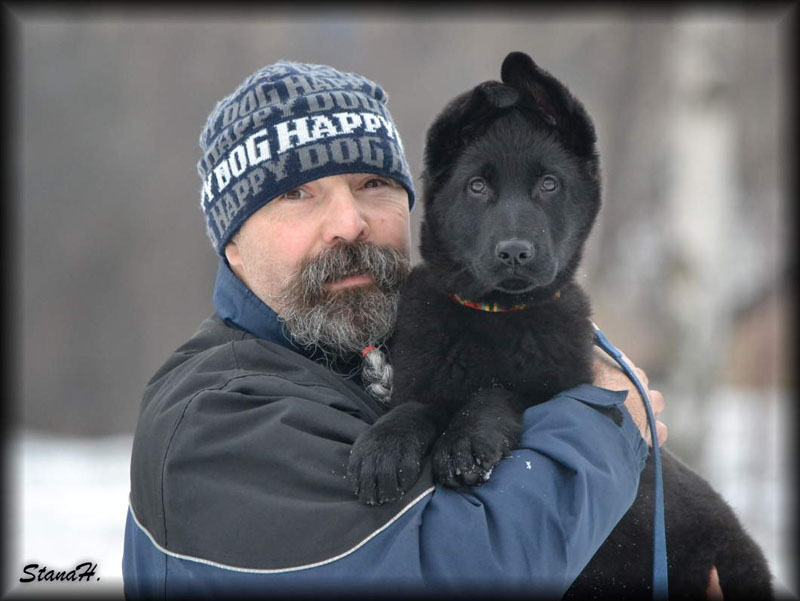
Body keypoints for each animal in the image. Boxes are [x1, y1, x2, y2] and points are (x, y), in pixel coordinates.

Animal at [346, 52, 772, 600]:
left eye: (548, 184)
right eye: (477, 187)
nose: (514, 252)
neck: (497, 318)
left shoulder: (556, 388)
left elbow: (496, 392)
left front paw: (465, 443)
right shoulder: (425, 375)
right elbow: (416, 406)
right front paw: (383, 448)